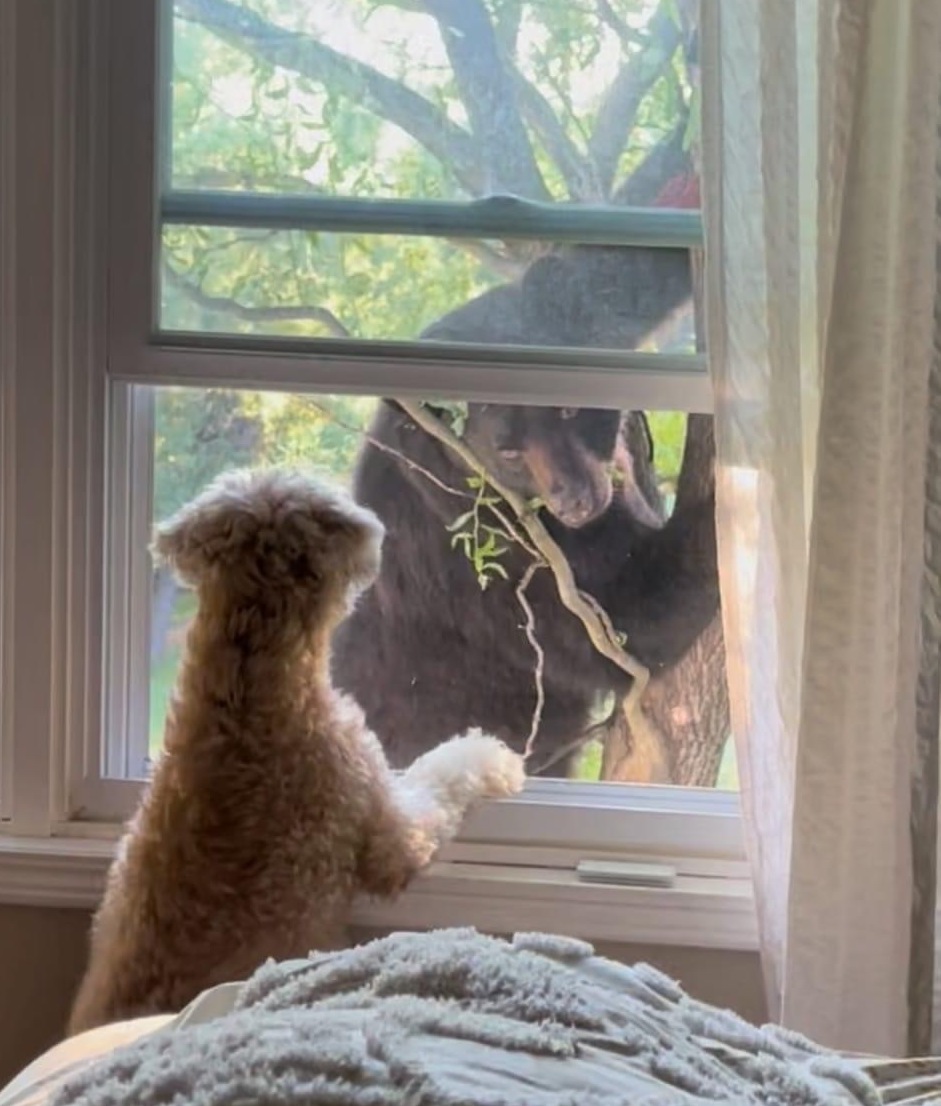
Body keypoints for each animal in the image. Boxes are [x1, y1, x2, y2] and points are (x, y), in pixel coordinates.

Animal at [331, 243, 719, 778]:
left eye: (568, 411)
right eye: (509, 451)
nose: (575, 499)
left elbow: (616, 280)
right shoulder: (477, 560)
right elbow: (623, 618)